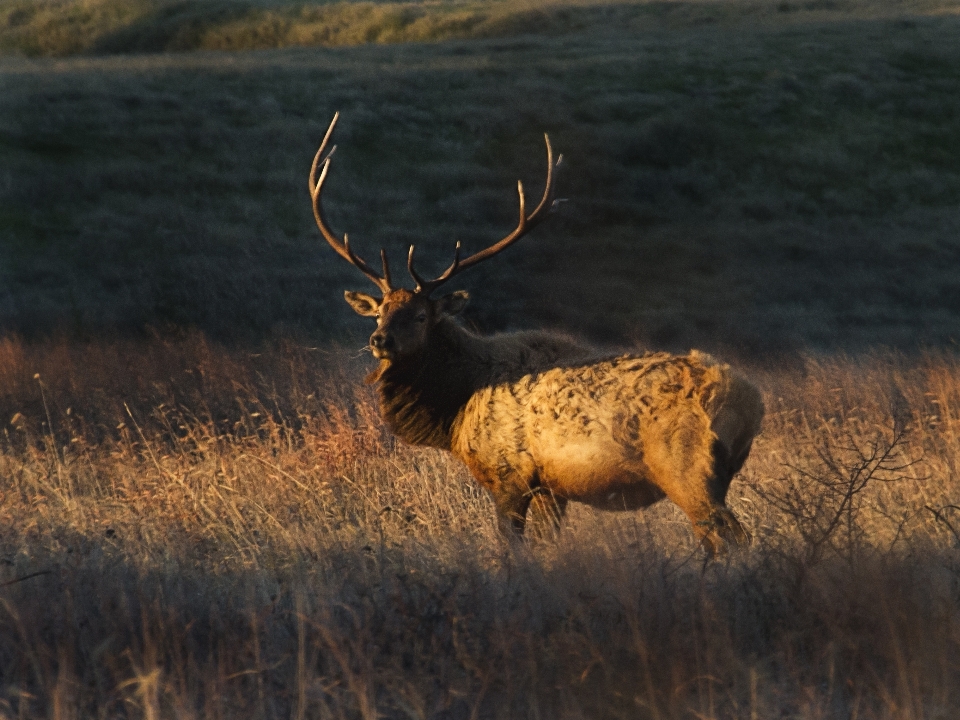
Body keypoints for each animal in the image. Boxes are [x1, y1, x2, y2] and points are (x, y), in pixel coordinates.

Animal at [308, 115, 764, 556]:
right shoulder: (550, 487)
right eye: (378, 314)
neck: (455, 410)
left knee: (732, 540)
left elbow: (513, 551)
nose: (379, 341)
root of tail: (753, 403)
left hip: (687, 470)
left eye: (420, 316)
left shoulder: (508, 474)